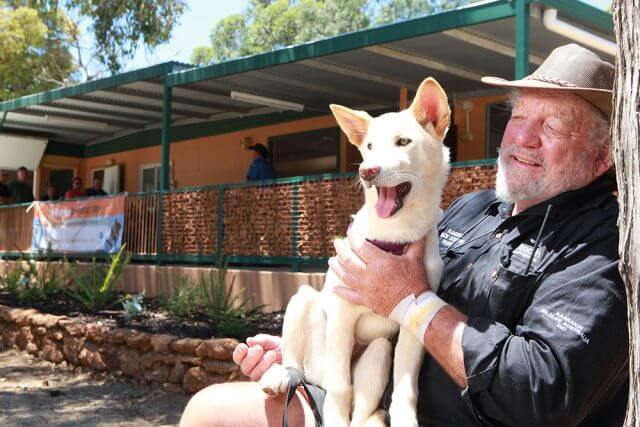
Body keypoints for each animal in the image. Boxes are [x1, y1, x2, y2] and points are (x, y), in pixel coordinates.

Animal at [258, 77, 450, 427]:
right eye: (369, 146)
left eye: (403, 142)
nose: (367, 171)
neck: (394, 235)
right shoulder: (341, 313)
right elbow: (339, 387)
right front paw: (333, 416)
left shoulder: (413, 326)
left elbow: (405, 387)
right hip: (305, 304)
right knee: (298, 364)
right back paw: (280, 375)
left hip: (379, 350)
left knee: (361, 410)